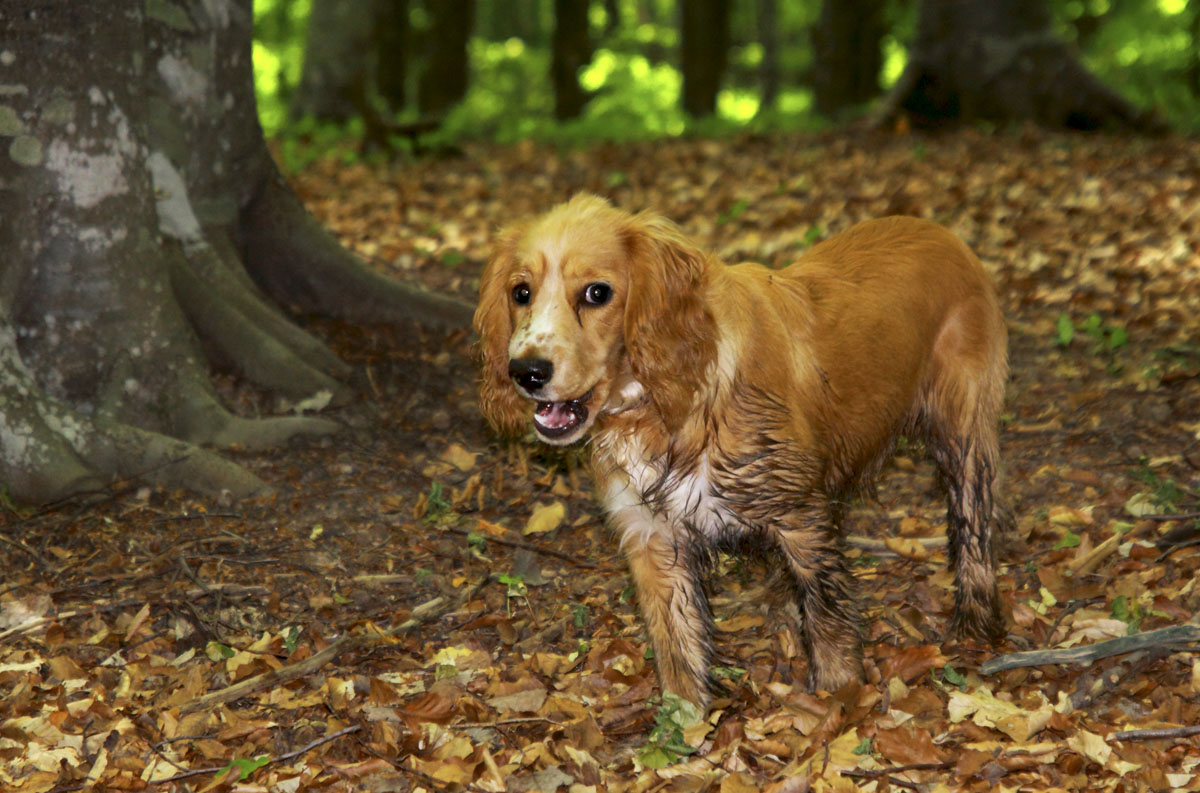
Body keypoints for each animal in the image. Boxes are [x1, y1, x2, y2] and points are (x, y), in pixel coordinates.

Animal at [472, 194, 1008, 710]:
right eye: (521, 292)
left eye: (597, 293)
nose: (526, 371)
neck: (664, 405)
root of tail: (938, 230)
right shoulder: (651, 539)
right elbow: (677, 653)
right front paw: (684, 727)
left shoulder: (801, 515)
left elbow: (827, 615)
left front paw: (840, 696)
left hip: (963, 434)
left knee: (973, 526)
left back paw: (975, 623)